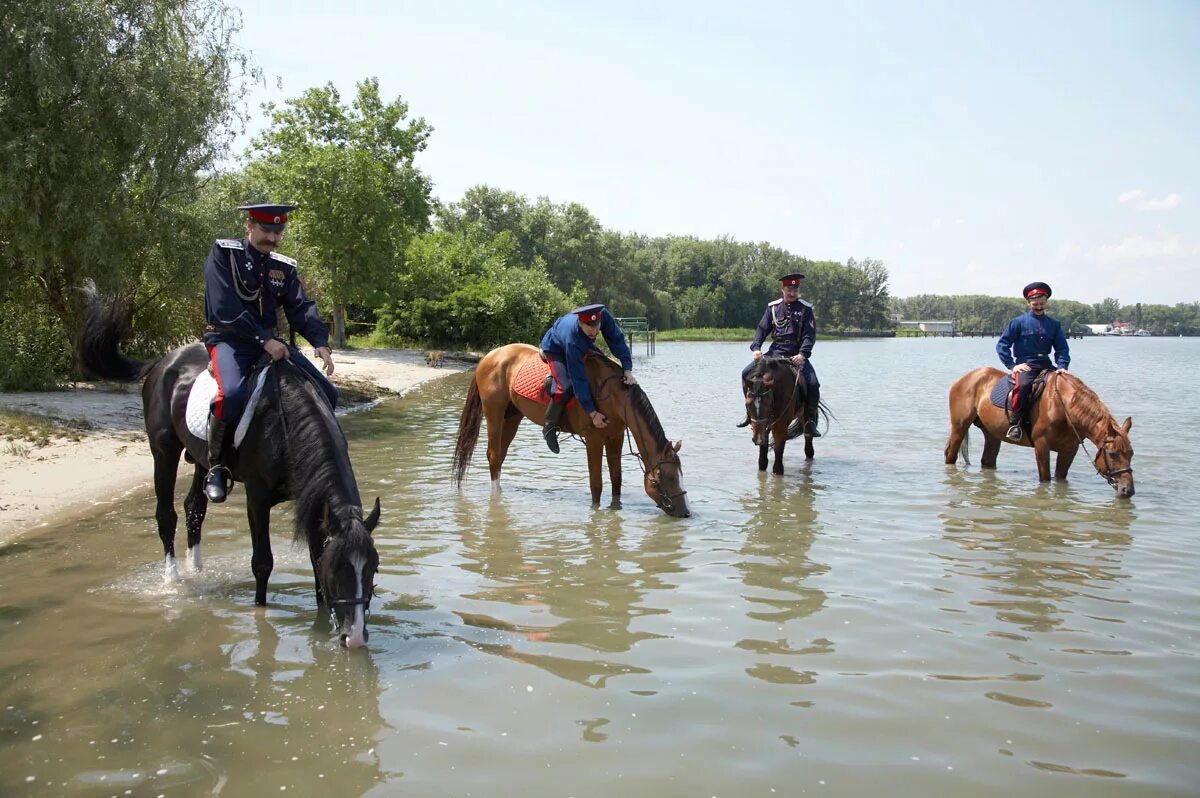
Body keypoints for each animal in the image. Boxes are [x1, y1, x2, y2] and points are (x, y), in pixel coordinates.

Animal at [78, 286, 379, 648]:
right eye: (339, 570)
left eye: (373, 569)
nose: (356, 637)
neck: (284, 424)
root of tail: (164, 362)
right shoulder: (257, 499)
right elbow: (262, 562)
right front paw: (260, 614)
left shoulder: (312, 500)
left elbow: (313, 558)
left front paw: (324, 624)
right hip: (163, 452)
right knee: (166, 516)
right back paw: (174, 580)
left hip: (201, 460)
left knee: (194, 507)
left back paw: (198, 570)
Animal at [451, 343, 696, 516]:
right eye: (670, 478)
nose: (685, 513)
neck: (612, 396)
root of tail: (489, 357)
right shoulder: (595, 440)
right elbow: (596, 484)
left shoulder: (615, 438)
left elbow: (616, 479)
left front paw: (615, 509)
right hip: (493, 413)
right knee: (493, 456)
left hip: (512, 417)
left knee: (500, 456)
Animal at [945, 367, 1132, 499]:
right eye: (1113, 454)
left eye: (1131, 454)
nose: (1128, 490)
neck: (1063, 406)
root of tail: (966, 377)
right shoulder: (1042, 446)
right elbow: (1046, 479)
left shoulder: (1069, 450)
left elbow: (1060, 478)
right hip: (959, 428)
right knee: (950, 455)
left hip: (992, 434)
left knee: (987, 460)